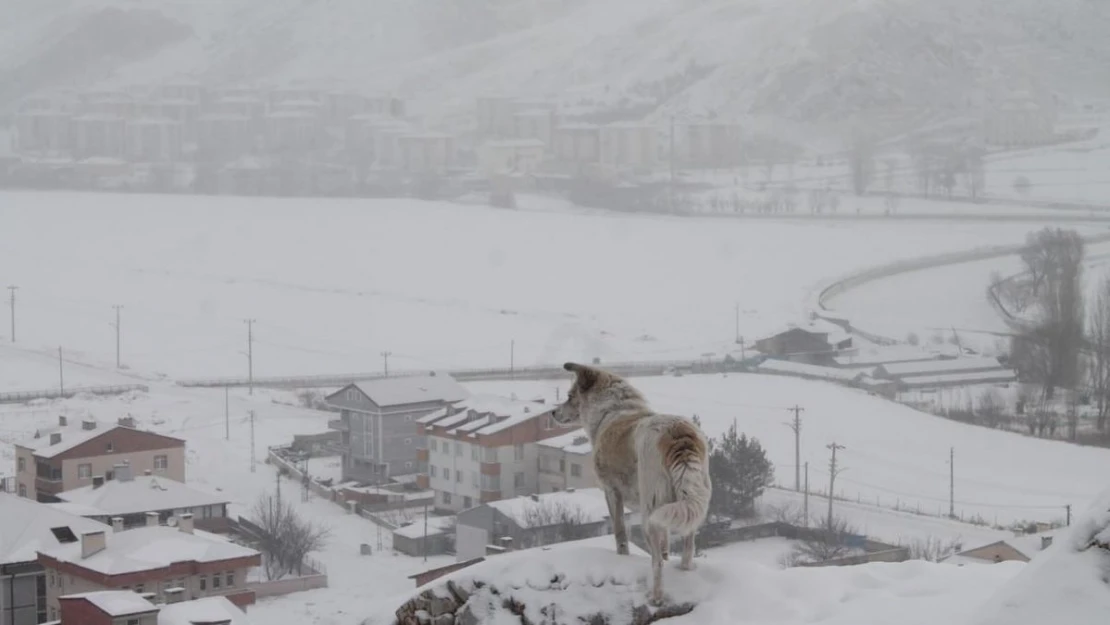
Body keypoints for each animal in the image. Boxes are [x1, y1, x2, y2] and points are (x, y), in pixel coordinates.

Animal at [552, 361, 710, 608]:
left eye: (569, 396)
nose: (552, 413)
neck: (612, 411)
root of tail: (678, 434)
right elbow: (666, 546)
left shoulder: (611, 492)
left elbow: (620, 534)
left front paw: (621, 558)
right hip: (689, 506)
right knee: (687, 551)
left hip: (650, 513)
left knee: (656, 563)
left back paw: (656, 598)